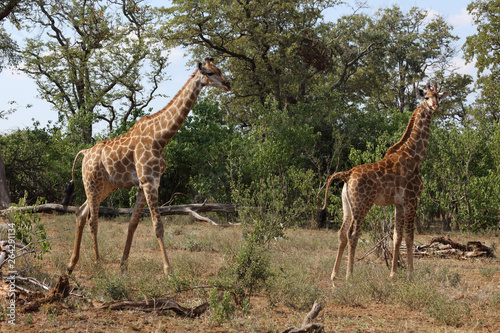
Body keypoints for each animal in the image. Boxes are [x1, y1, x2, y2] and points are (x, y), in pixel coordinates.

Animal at [63, 57, 232, 274]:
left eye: (219, 69)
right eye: (209, 73)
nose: (228, 84)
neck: (161, 138)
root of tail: (84, 153)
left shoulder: (146, 183)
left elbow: (133, 223)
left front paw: (123, 266)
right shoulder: (149, 181)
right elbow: (158, 226)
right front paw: (168, 269)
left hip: (106, 185)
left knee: (80, 212)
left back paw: (71, 265)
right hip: (92, 182)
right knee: (92, 218)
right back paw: (97, 263)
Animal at [318, 81, 452, 284]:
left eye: (439, 97)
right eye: (426, 97)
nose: (435, 106)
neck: (415, 157)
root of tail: (347, 174)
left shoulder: (399, 203)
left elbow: (397, 236)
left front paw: (393, 274)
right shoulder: (412, 200)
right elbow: (410, 237)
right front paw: (410, 275)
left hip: (347, 206)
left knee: (341, 234)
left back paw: (335, 275)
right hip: (362, 204)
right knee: (353, 234)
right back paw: (350, 275)